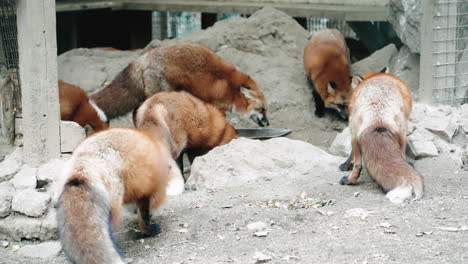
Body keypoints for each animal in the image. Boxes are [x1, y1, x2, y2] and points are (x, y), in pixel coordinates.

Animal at [90, 42, 268, 127]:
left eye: (265, 109)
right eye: (261, 109)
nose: (268, 123)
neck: (230, 86)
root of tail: (145, 56)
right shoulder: (215, 104)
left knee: (136, 111)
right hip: (160, 93)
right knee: (139, 111)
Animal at [338, 71, 422, 203]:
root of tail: (379, 119)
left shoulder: (353, 130)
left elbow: (351, 155)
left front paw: (345, 165)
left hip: (353, 131)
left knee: (358, 165)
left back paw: (350, 181)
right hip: (403, 131)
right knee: (402, 156)